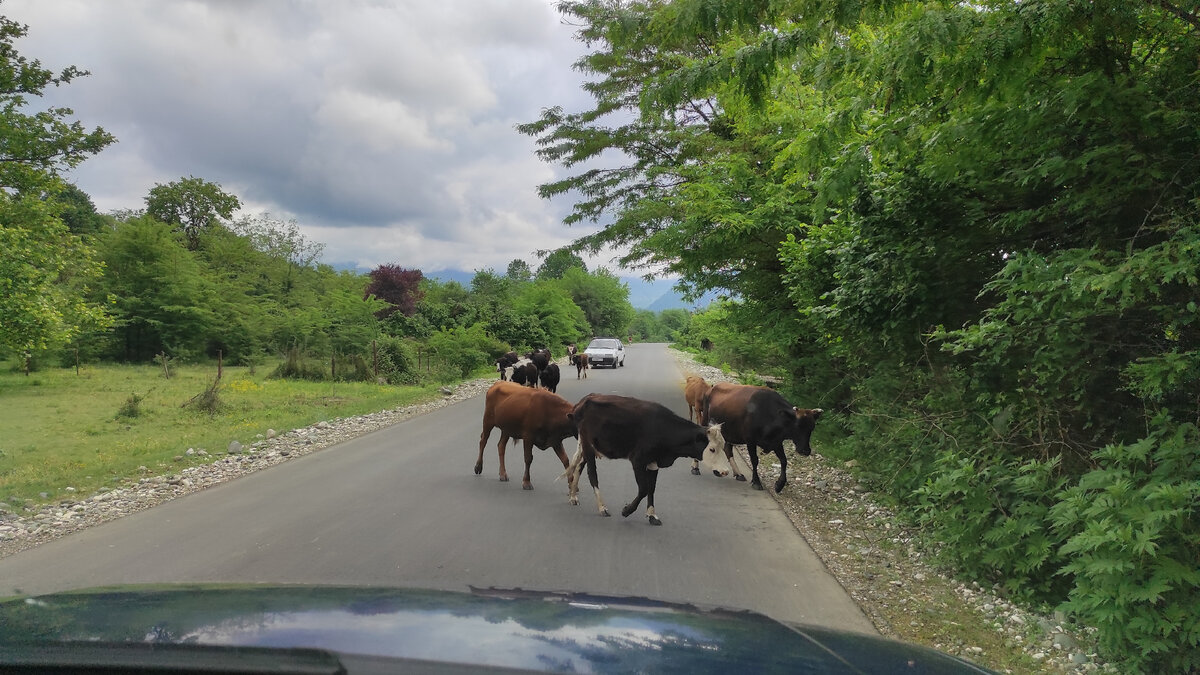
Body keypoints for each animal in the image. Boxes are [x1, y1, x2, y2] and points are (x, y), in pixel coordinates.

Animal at [564, 389, 724, 526]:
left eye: (723, 446)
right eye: (712, 449)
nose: (725, 471)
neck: (663, 429)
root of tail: (584, 401)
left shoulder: (653, 462)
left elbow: (651, 488)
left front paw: (652, 515)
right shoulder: (638, 460)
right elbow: (643, 489)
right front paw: (627, 510)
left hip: (588, 447)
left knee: (578, 466)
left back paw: (573, 496)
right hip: (588, 446)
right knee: (592, 475)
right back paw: (602, 507)